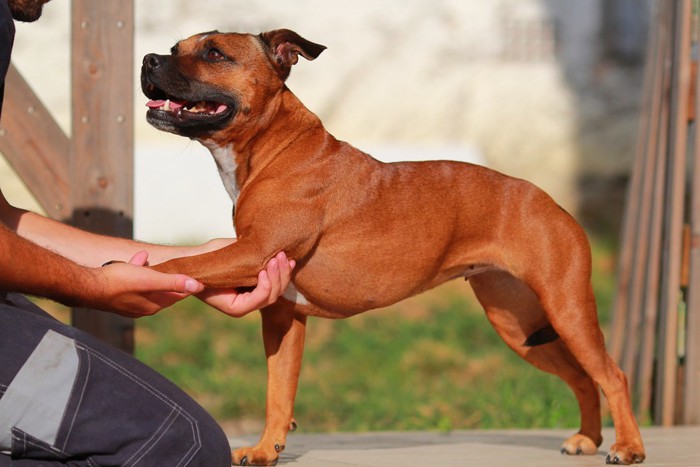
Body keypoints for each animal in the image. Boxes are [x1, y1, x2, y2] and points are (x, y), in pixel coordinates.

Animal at [141, 30, 644, 467]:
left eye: (214, 53)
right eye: (175, 48)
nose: (148, 59)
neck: (272, 147)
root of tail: (551, 202)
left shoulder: (250, 254)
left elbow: (183, 261)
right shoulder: (282, 314)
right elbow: (278, 392)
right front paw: (267, 450)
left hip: (568, 310)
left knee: (611, 374)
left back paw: (628, 447)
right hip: (517, 325)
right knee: (582, 377)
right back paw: (588, 440)